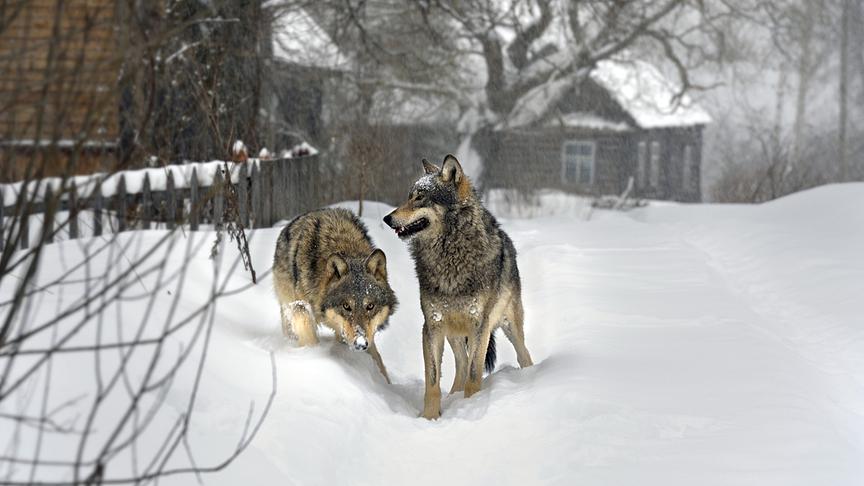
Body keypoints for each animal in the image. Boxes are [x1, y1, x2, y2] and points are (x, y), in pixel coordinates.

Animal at [273, 208, 398, 382]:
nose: (360, 344)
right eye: (346, 306)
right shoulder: (301, 309)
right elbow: (310, 339)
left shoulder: (366, 334)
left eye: (370, 306)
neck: (343, 245)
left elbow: (377, 359)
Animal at [384, 154, 533, 419]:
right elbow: (432, 380)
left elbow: (474, 375)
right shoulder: (432, 326)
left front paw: (471, 408)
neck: (449, 256)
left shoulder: (479, 326)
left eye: (419, 197)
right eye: (409, 196)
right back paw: (453, 397)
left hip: (509, 327)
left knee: (522, 354)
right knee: (461, 365)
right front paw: (430, 417)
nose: (387, 218)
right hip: (453, 333)